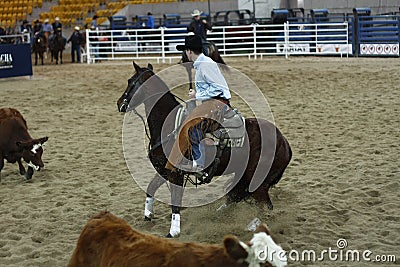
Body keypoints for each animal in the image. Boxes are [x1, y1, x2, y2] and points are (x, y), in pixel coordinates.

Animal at [117, 61, 292, 239]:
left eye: (131, 81)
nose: (119, 103)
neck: (168, 125)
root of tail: (284, 143)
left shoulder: (175, 173)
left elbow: (175, 202)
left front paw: (173, 231)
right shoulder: (164, 169)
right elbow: (150, 188)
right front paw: (148, 215)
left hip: (258, 182)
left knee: (264, 206)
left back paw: (253, 226)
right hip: (243, 176)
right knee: (236, 196)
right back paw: (220, 215)